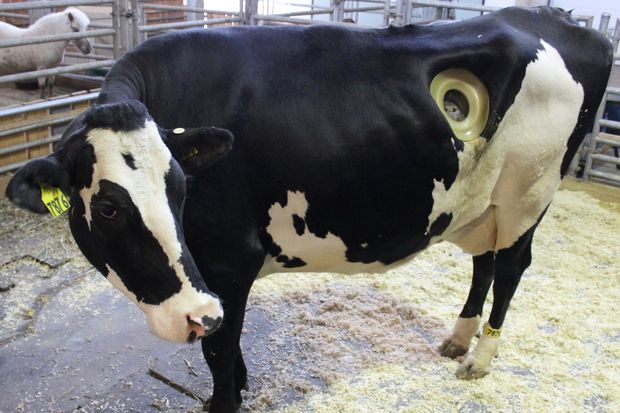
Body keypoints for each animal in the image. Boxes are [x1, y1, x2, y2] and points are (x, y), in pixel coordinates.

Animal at [4, 7, 612, 412]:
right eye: (107, 209)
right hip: (483, 205)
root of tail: (561, 22)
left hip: (527, 196)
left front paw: (226, 397)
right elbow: (227, 346)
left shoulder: (228, 261)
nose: (194, 315)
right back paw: (457, 340)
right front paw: (241, 382)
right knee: (483, 263)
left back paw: (478, 360)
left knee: (509, 268)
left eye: (181, 189)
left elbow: (220, 349)